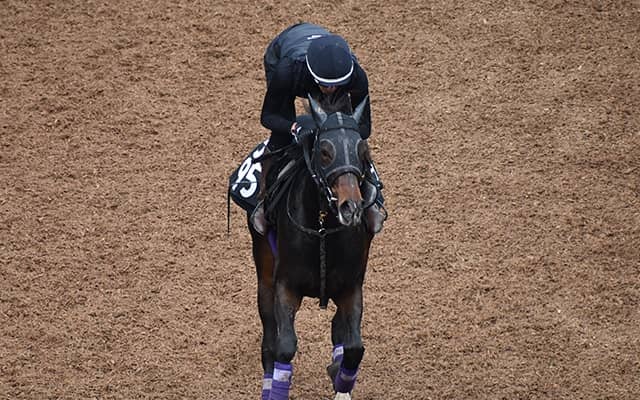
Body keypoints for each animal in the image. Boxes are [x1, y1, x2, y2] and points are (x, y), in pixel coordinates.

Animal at [247, 93, 377, 400]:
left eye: (362, 151)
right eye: (325, 151)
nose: (351, 207)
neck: (321, 231)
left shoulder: (351, 287)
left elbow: (354, 347)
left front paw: (339, 377)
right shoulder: (285, 286)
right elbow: (284, 347)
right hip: (264, 275)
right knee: (269, 340)